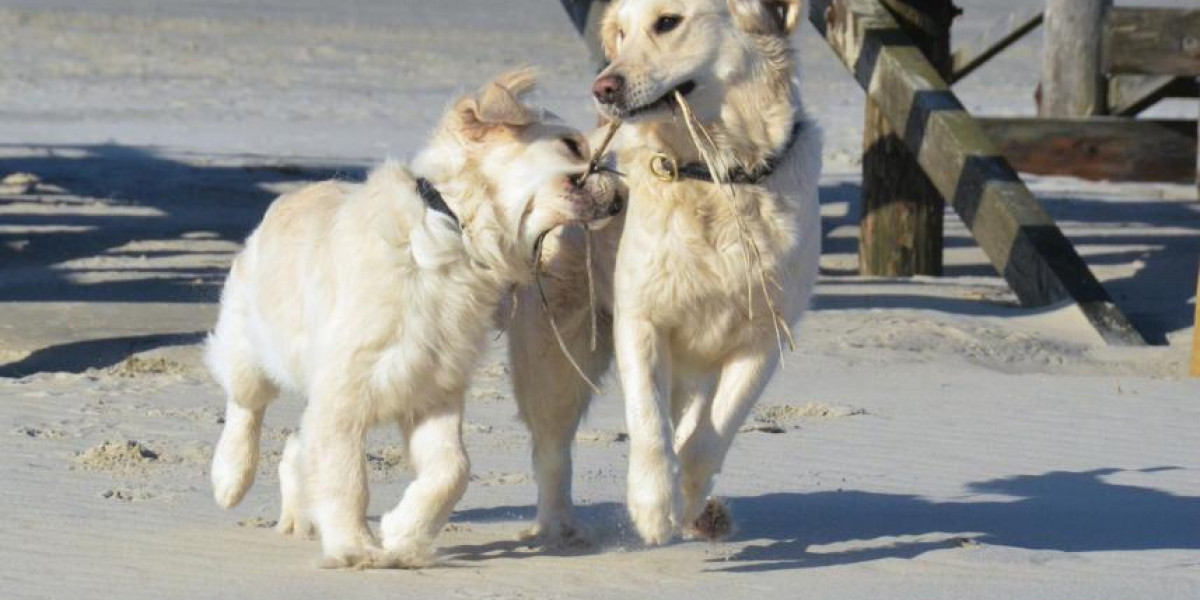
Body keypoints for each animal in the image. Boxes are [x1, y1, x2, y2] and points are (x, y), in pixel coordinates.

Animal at [205, 70, 619, 566]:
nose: (622, 198)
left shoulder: (433, 388)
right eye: (572, 146)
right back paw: (230, 478)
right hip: (250, 340)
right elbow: (347, 477)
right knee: (246, 405)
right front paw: (355, 548)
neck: (452, 229)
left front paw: (404, 534)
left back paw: (299, 518)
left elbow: (452, 470)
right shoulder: (344, 393)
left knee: (295, 446)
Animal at [506, 0, 816, 544]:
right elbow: (648, 420)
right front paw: (653, 506)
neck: (711, 173)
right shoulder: (642, 319)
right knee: (551, 449)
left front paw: (687, 498)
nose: (603, 87)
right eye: (621, 33)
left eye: (668, 22)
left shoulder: (764, 335)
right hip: (555, 354)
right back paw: (559, 529)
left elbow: (714, 429)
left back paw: (705, 517)